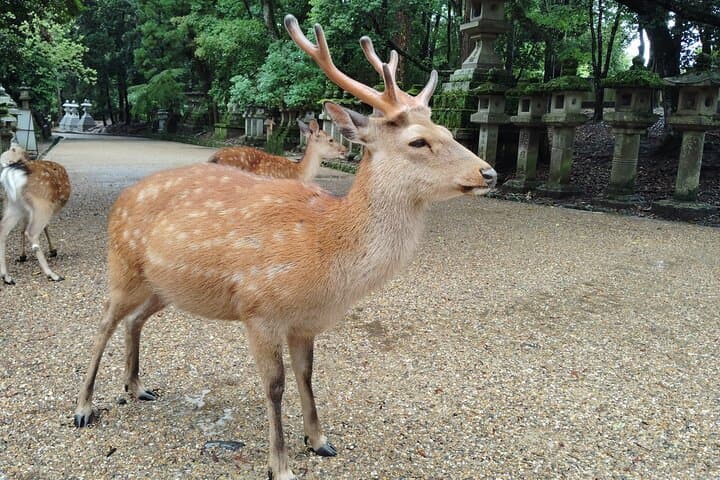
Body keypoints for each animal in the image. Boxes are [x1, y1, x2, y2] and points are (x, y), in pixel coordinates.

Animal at [1, 143, 70, 284]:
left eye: (12, 150)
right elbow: (45, 227)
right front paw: (52, 250)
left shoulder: (26, 212)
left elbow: (22, 228)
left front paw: (22, 255)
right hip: (42, 204)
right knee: (31, 232)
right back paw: (52, 275)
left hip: (13, 205)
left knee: (3, 229)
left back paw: (7, 277)